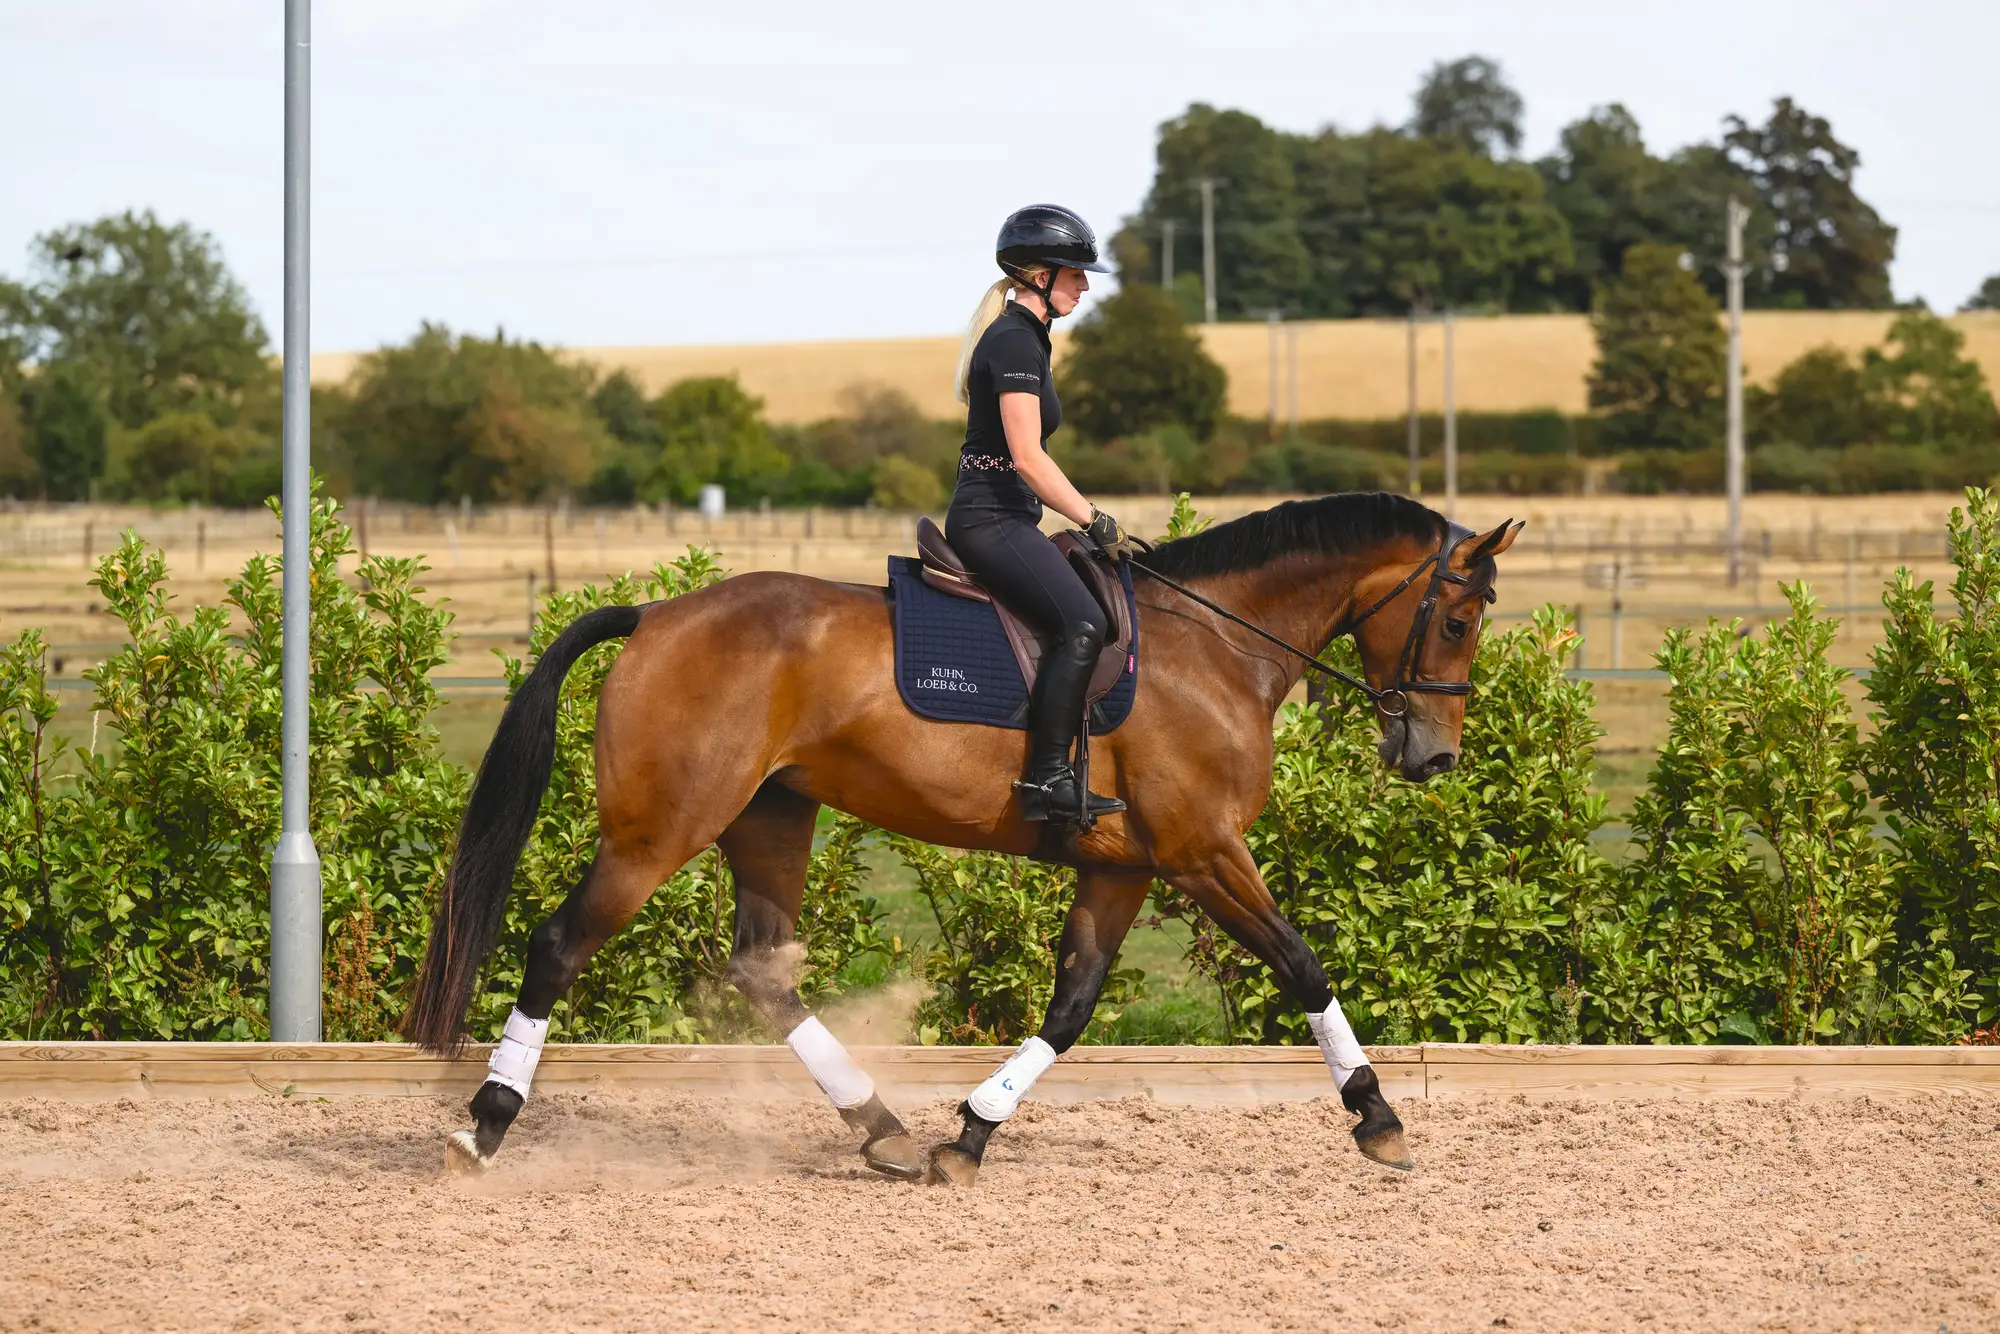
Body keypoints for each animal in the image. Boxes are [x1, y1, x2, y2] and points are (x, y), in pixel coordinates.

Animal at [407, 491, 1523, 1184]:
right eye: (1457, 621)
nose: (1433, 756)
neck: (1216, 646)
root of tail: (654, 615)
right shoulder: (1202, 852)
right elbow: (1302, 965)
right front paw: (1377, 1118)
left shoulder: (1123, 868)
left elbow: (1071, 1009)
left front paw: (971, 1133)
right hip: (659, 832)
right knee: (558, 946)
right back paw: (484, 1124)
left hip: (771, 819)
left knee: (762, 968)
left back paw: (885, 1132)